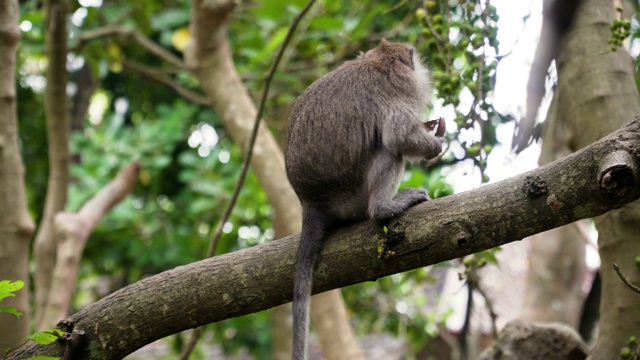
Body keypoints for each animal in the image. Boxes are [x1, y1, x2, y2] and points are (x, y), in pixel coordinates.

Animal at [284, 39, 444, 360]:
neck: (378, 61)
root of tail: (310, 202)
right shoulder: (399, 86)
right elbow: (399, 137)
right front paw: (435, 144)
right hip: (352, 198)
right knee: (388, 149)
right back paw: (384, 207)